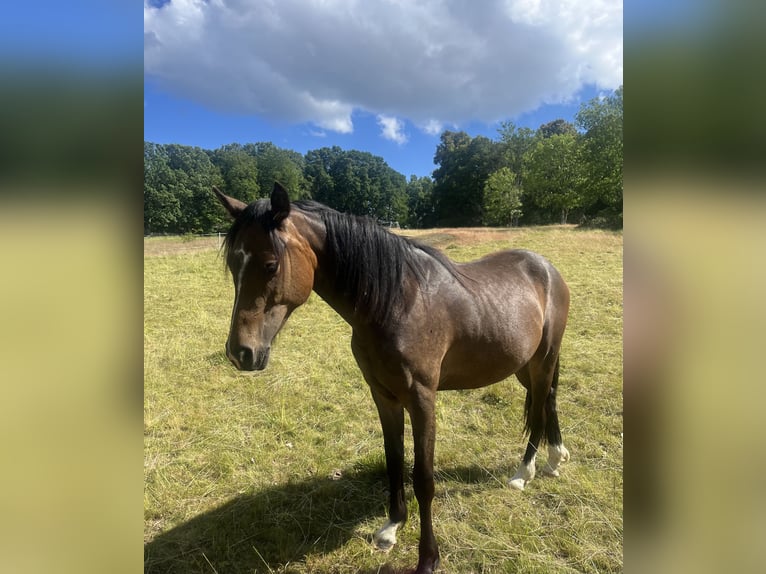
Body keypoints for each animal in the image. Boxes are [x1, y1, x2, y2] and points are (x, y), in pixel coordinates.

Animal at [213, 183, 572, 574]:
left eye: (270, 265)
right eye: (233, 264)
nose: (240, 353)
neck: (397, 302)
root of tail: (546, 267)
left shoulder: (422, 399)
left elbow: (423, 478)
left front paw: (428, 558)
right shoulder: (384, 396)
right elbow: (394, 461)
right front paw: (391, 527)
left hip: (542, 360)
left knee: (540, 407)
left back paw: (524, 472)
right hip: (524, 365)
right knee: (549, 401)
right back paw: (555, 459)